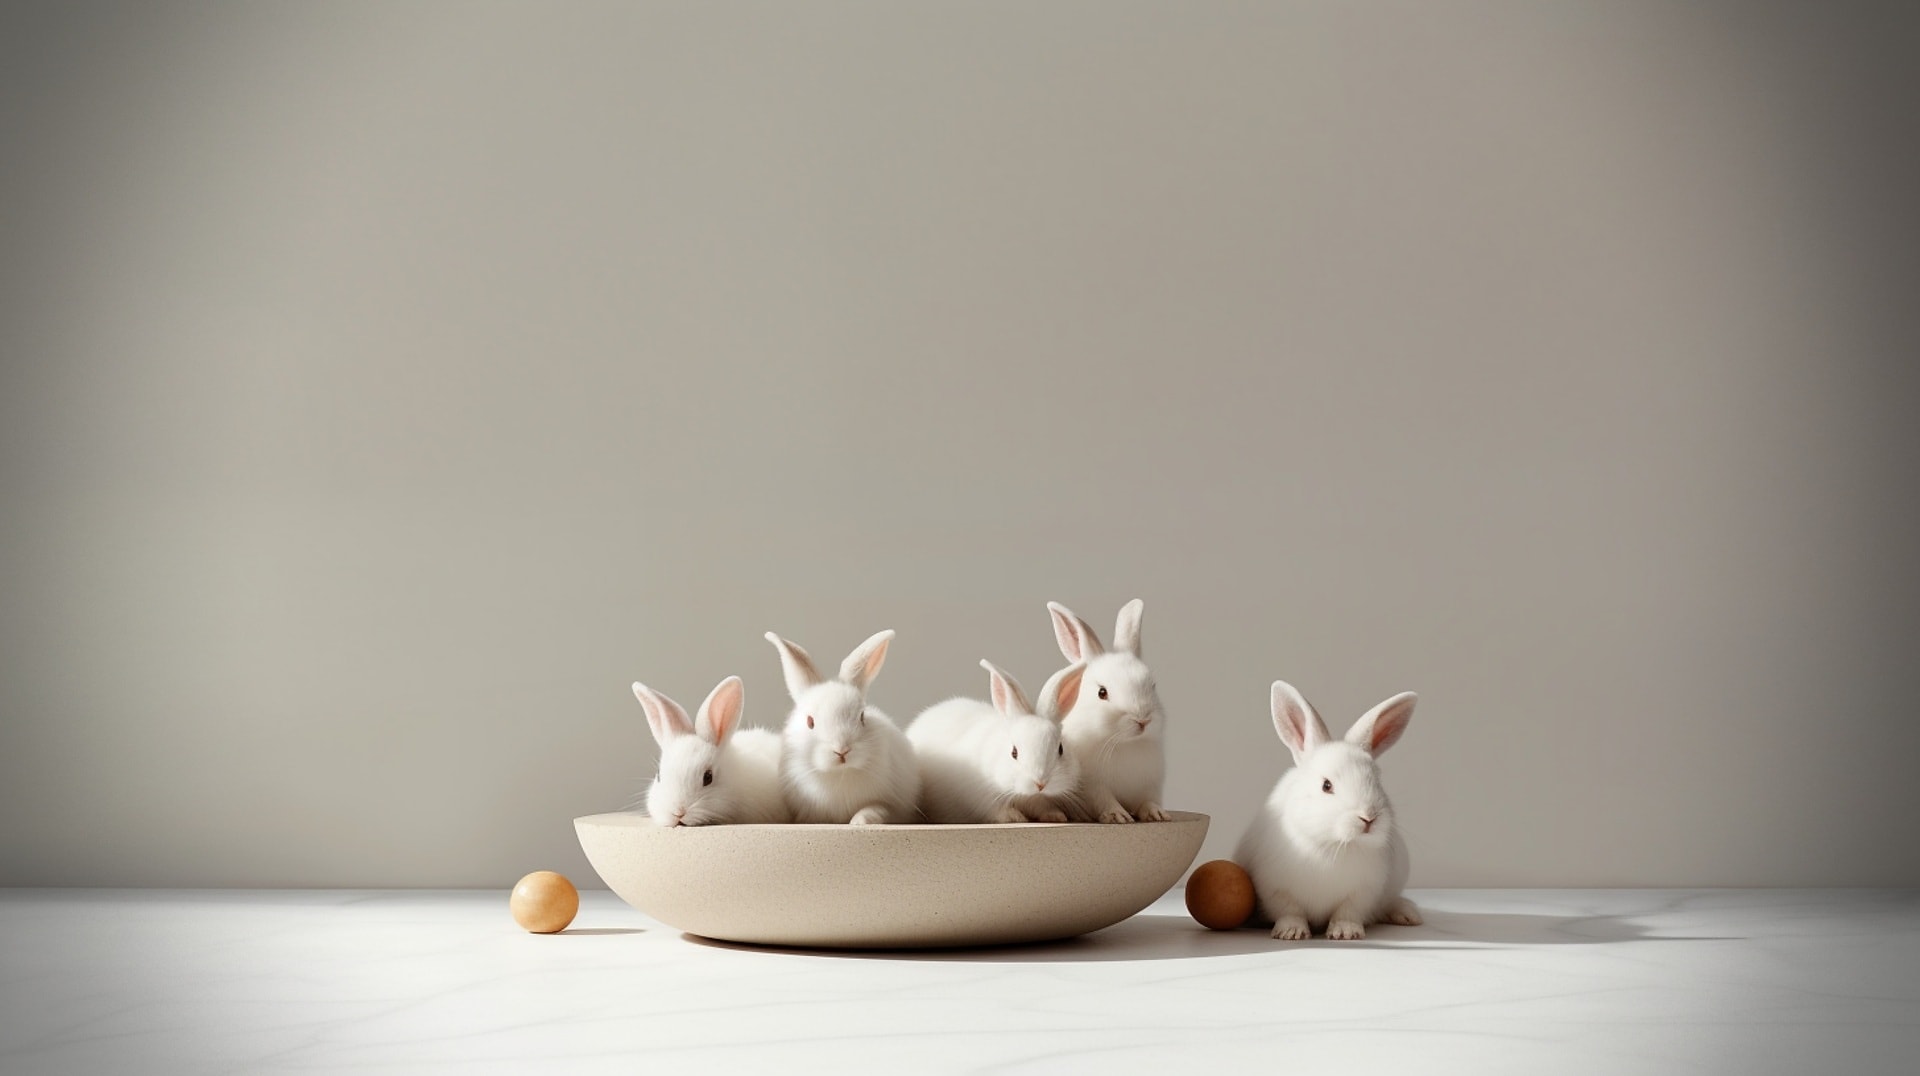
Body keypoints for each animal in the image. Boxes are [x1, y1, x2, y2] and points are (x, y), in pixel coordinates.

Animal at [764, 630, 921, 822]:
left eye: (862, 717)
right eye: (810, 722)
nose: (842, 751)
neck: (840, 774)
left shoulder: (891, 804)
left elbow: (875, 808)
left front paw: (860, 821)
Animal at [910, 657, 1090, 822]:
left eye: (1060, 749)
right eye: (1014, 752)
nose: (1040, 784)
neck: (1024, 794)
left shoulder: (1038, 800)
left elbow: (1042, 806)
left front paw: (1056, 816)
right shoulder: (982, 798)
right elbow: (997, 811)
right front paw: (1015, 817)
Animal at [1052, 595, 1167, 822]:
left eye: (1152, 686)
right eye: (1102, 693)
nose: (1142, 720)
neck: (1125, 744)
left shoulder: (1150, 785)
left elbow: (1147, 800)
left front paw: (1156, 813)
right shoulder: (1093, 786)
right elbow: (1104, 800)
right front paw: (1117, 816)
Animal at [1236, 680, 1420, 941]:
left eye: (1377, 781)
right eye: (1326, 785)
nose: (1369, 818)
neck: (1333, 845)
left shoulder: (1364, 891)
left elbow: (1347, 911)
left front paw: (1345, 933)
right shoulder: (1273, 887)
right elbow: (1289, 910)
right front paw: (1291, 932)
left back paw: (1408, 914)